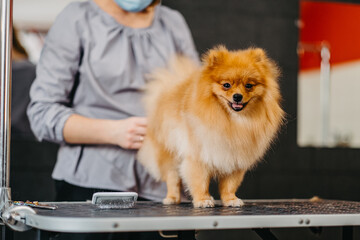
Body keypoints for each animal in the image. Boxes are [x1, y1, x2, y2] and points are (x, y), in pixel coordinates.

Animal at [137, 46, 284, 207]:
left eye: (249, 86)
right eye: (226, 85)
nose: (237, 96)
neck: (233, 121)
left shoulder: (234, 157)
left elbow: (230, 184)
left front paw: (231, 199)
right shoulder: (199, 155)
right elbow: (200, 181)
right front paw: (202, 200)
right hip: (169, 152)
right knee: (172, 177)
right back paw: (172, 198)